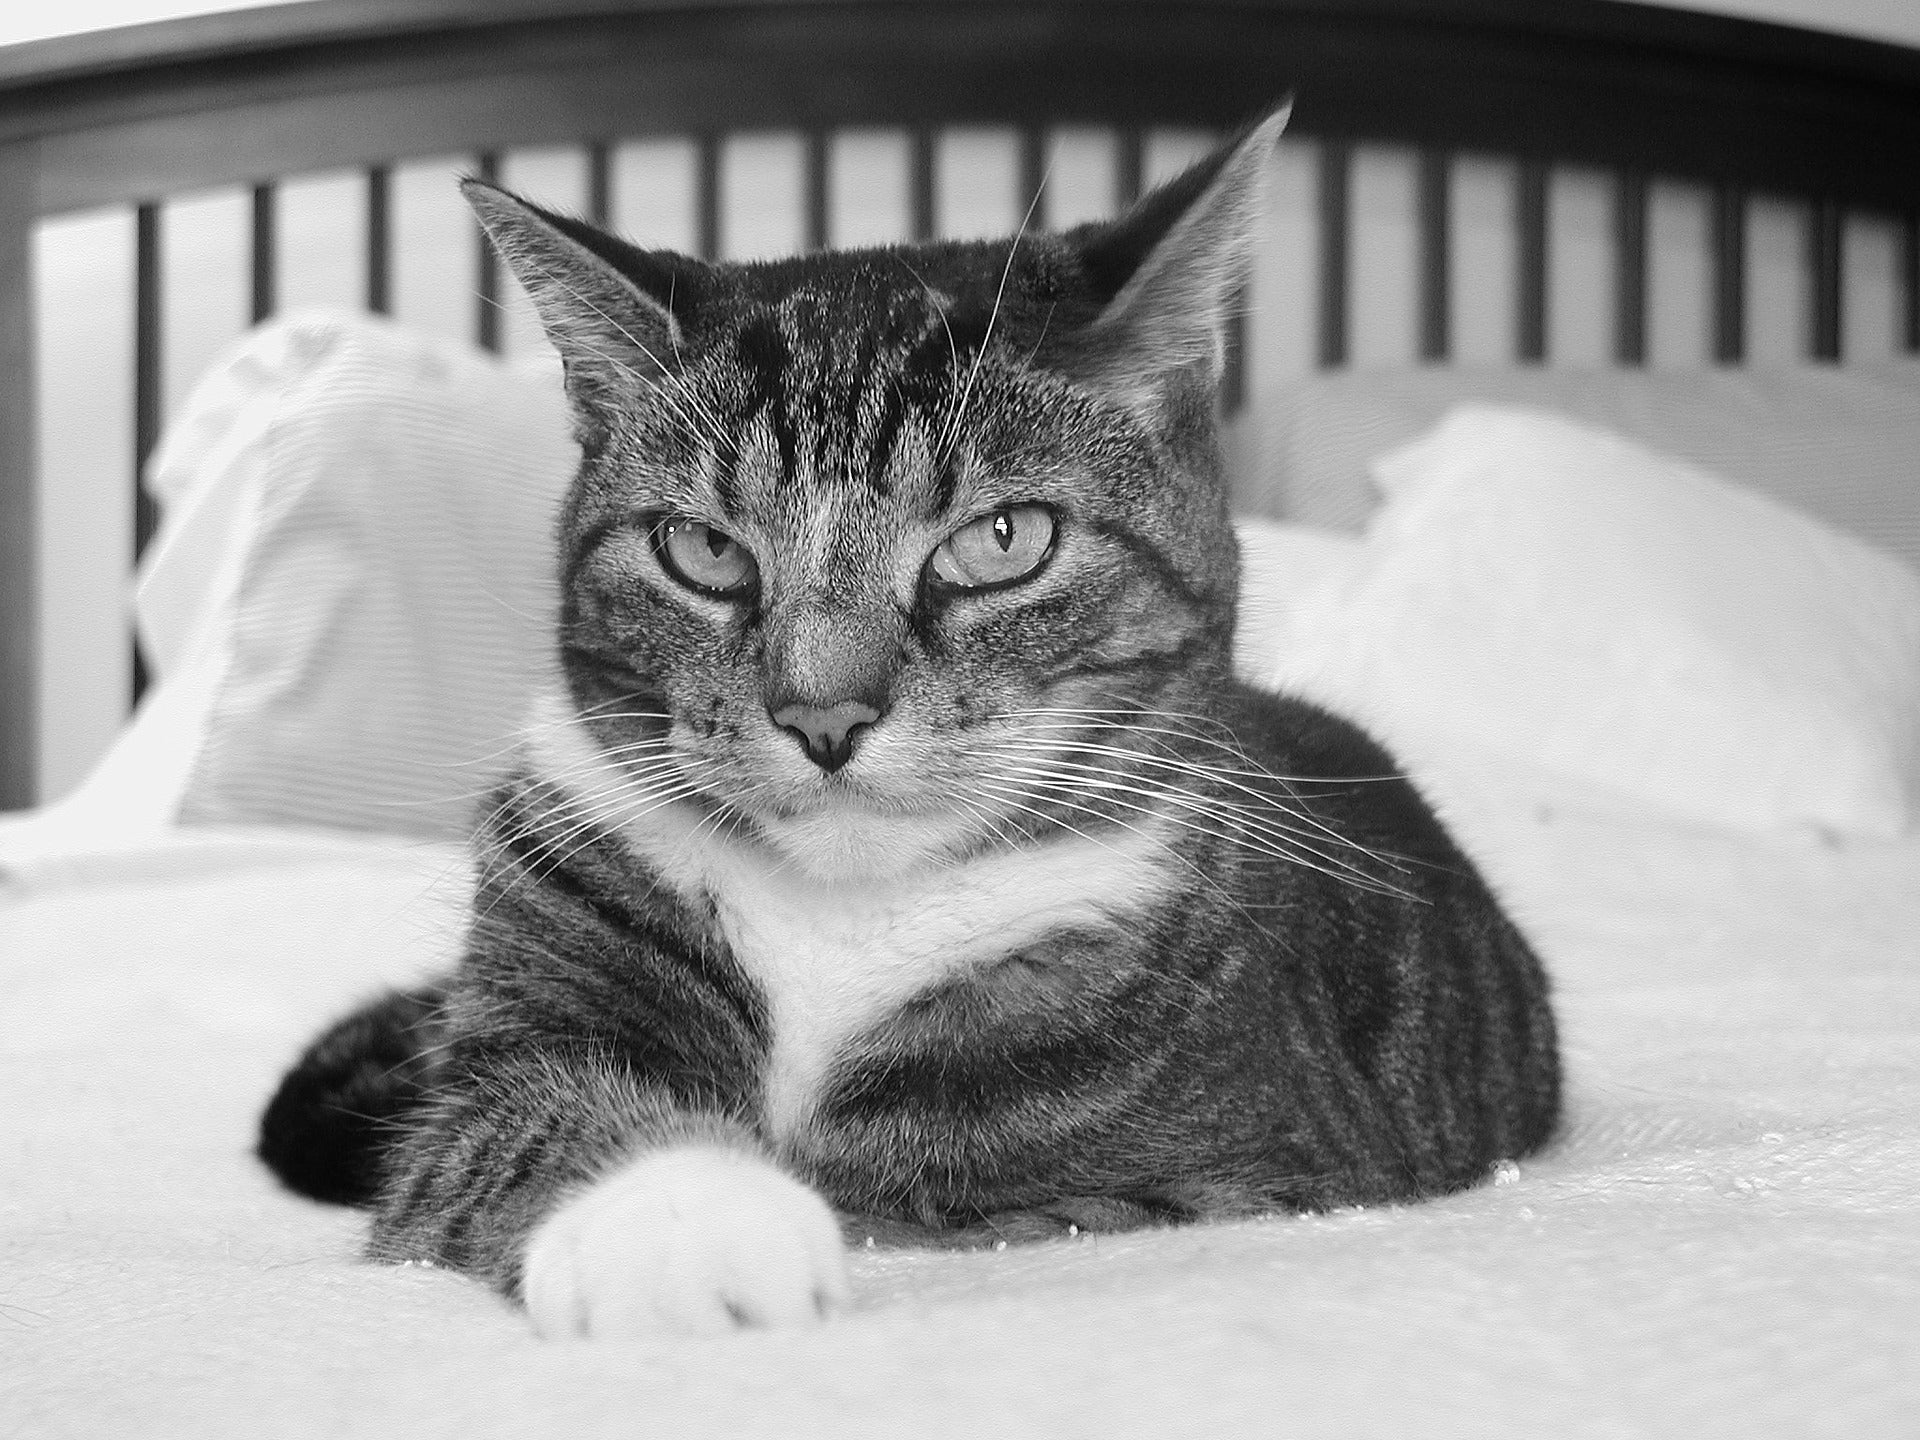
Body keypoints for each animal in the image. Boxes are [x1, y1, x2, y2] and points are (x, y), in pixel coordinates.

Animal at [259, 112, 1559, 1344]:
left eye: (1002, 539)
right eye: (704, 550)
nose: (823, 713)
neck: (842, 926)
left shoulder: (1260, 1159)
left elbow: (991, 1203)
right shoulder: (525, 994)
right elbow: (518, 1117)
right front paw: (689, 1226)